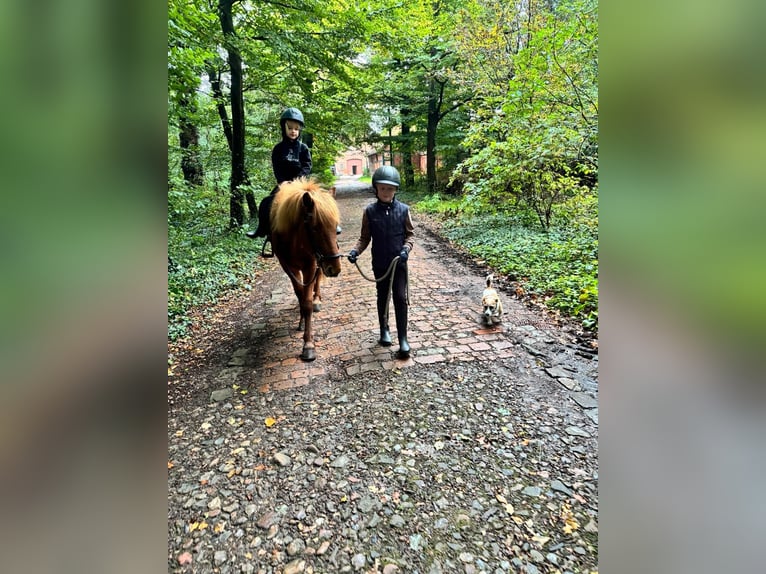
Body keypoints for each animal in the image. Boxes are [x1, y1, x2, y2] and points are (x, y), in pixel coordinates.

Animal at [270, 178, 343, 361]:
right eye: (315, 227)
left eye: (335, 227)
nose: (335, 268)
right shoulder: (288, 267)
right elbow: (300, 294)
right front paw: (302, 320)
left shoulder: (311, 264)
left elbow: (308, 302)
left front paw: (308, 345)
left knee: (317, 279)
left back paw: (317, 299)